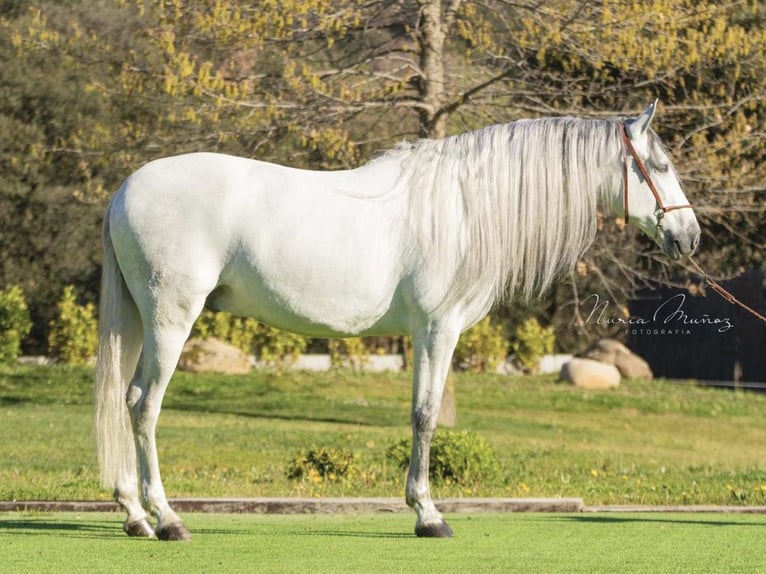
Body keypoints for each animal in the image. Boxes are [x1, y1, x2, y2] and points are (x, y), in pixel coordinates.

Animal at [94, 102, 704, 540]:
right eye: (660, 166)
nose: (690, 236)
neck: (463, 207)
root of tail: (126, 188)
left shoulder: (427, 334)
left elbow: (421, 415)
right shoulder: (437, 330)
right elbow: (425, 417)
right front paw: (428, 515)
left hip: (142, 321)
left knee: (125, 399)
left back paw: (135, 516)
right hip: (170, 319)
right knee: (144, 405)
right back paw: (167, 519)